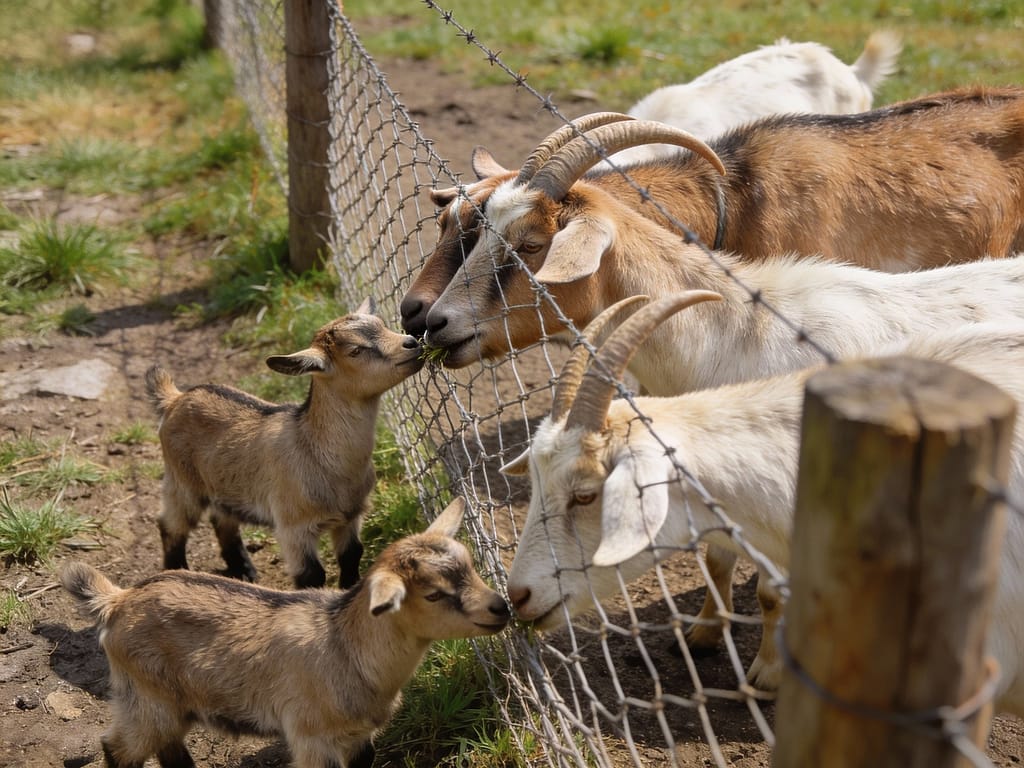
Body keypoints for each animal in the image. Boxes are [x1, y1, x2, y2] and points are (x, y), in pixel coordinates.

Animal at [60, 498, 511, 768]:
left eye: (472, 566)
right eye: (433, 594)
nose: (501, 608)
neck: (345, 647)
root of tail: (118, 601)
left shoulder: (359, 737)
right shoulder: (313, 737)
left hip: (168, 705)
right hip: (147, 699)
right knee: (119, 749)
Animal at [146, 298, 423, 590]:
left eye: (382, 324)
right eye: (355, 351)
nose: (412, 343)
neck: (314, 450)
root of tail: (175, 399)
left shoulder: (350, 516)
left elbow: (351, 556)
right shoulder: (293, 526)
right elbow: (311, 575)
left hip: (223, 485)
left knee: (222, 520)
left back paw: (245, 571)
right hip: (182, 480)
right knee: (172, 525)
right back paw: (176, 570)